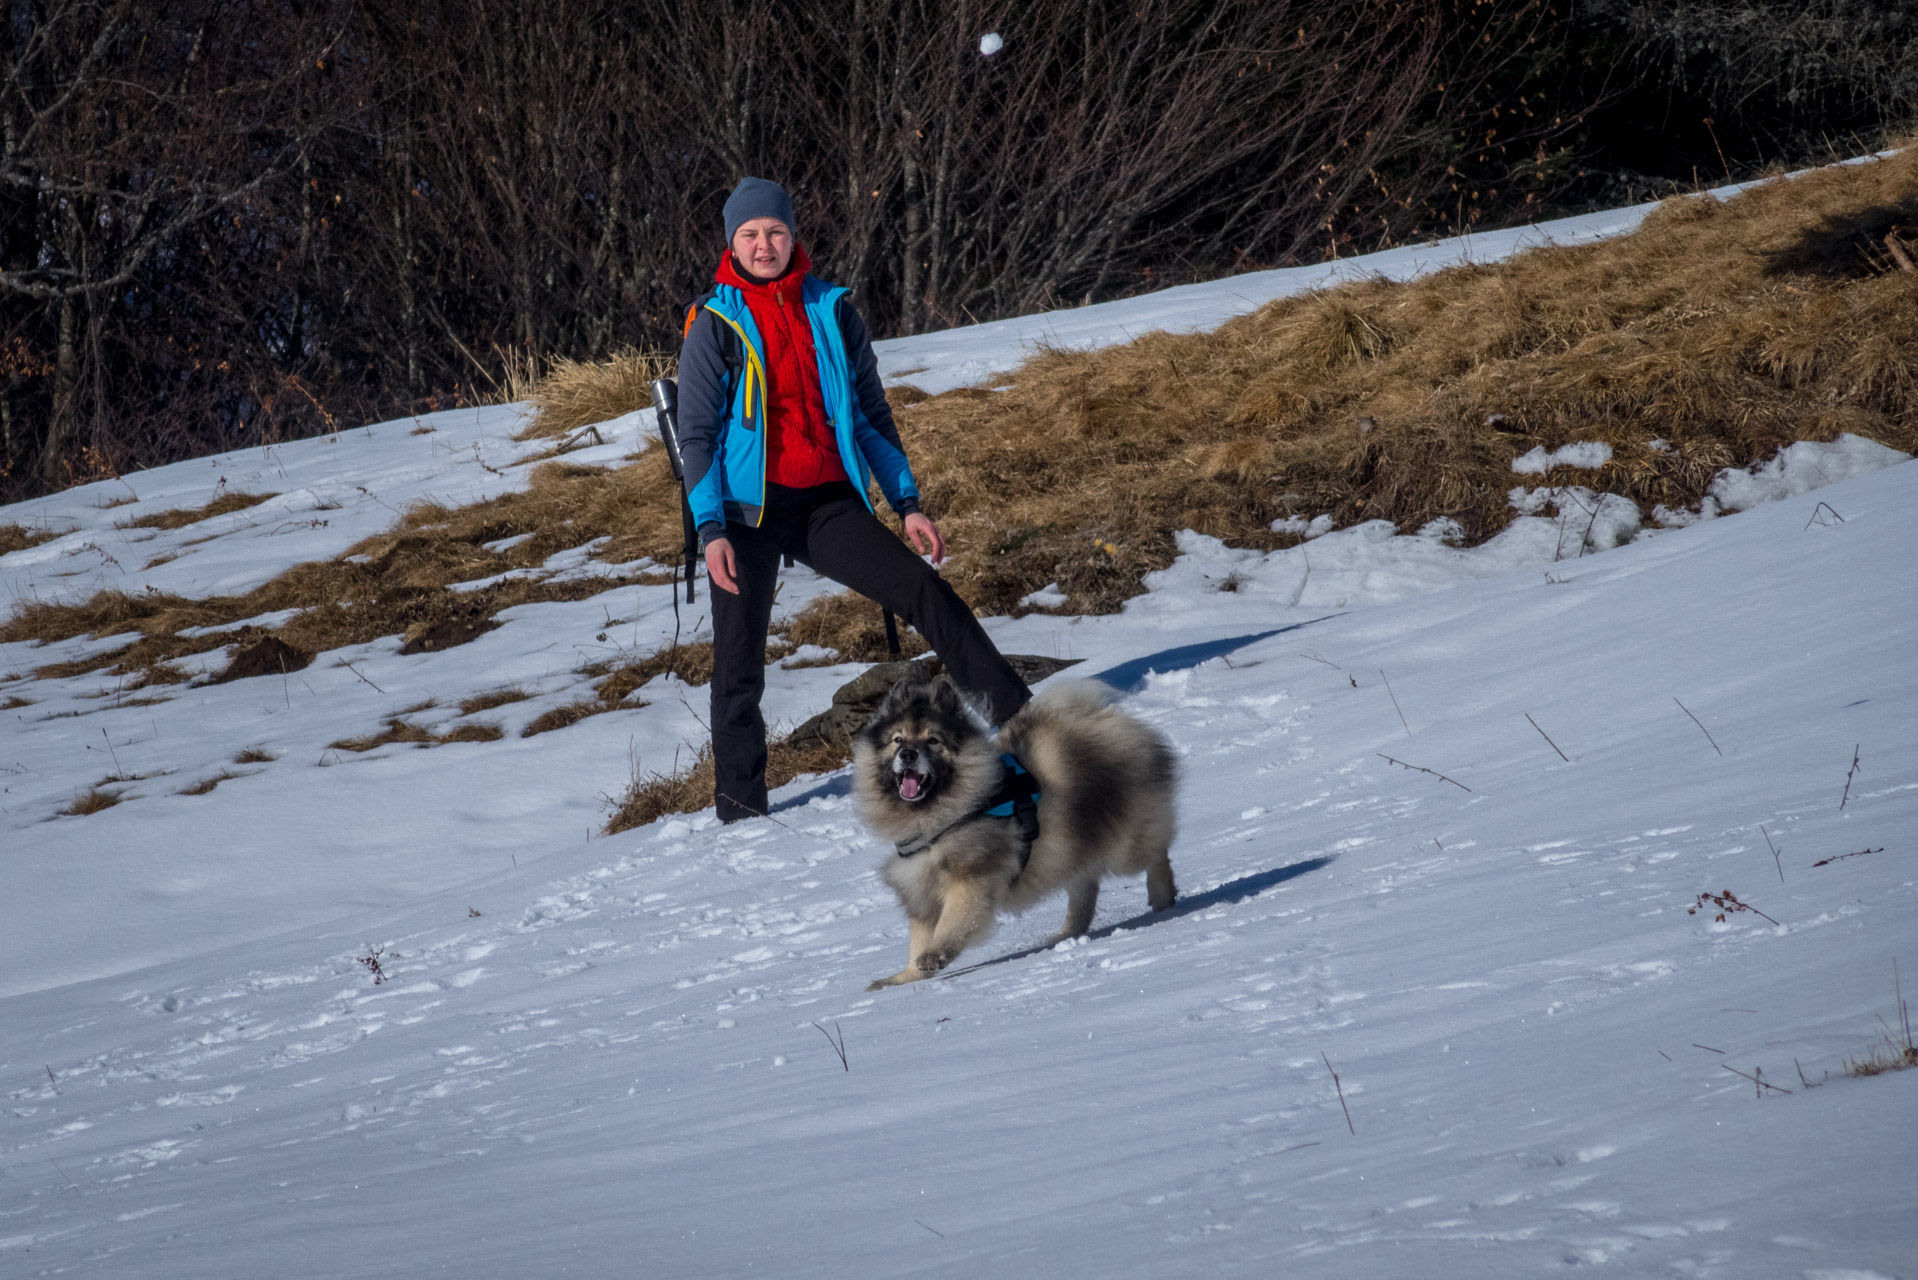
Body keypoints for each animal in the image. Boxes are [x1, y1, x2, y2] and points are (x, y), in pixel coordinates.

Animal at [859, 679, 1181, 990]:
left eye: (933, 740)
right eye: (897, 739)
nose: (908, 754)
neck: (939, 820)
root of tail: (1103, 720)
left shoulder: (970, 880)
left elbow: (951, 924)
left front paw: (934, 955)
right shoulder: (919, 889)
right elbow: (918, 938)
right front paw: (903, 978)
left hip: (1124, 846)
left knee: (1156, 854)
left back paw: (1162, 896)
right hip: (1070, 847)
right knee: (1085, 888)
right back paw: (1067, 933)